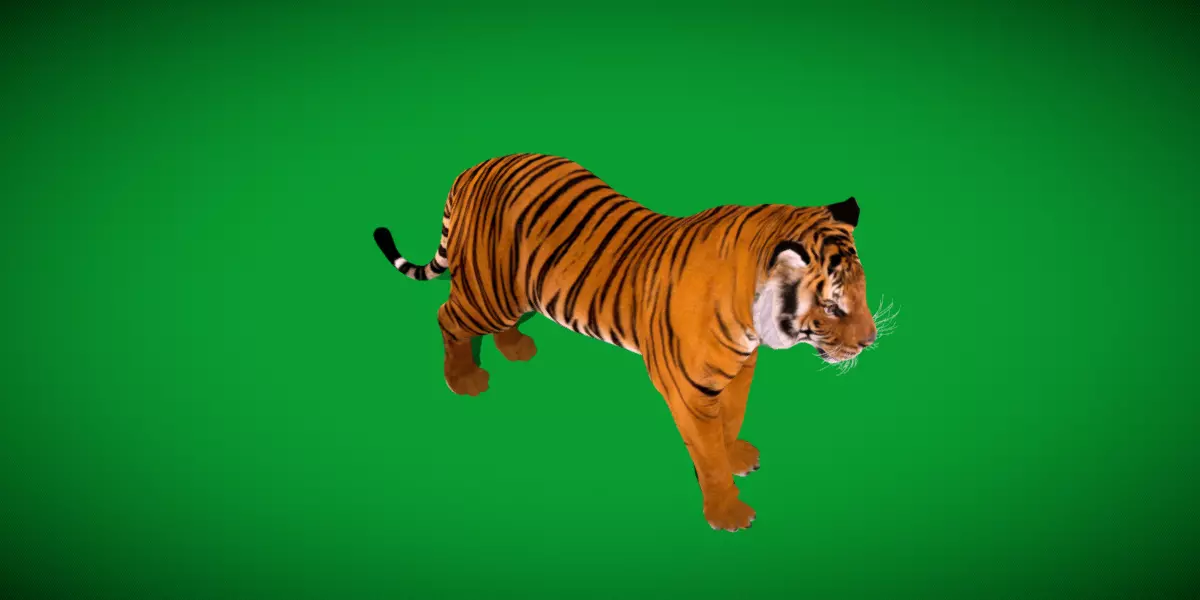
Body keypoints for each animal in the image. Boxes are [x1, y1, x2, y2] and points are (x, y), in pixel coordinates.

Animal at [373, 153, 879, 532]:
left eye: (862, 292)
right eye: (832, 306)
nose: (871, 342)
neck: (751, 320)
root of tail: (474, 168)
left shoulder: (740, 369)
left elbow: (731, 421)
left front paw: (736, 455)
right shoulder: (688, 389)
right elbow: (708, 453)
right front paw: (727, 512)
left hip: (515, 291)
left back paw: (516, 348)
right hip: (489, 290)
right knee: (447, 317)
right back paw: (463, 379)